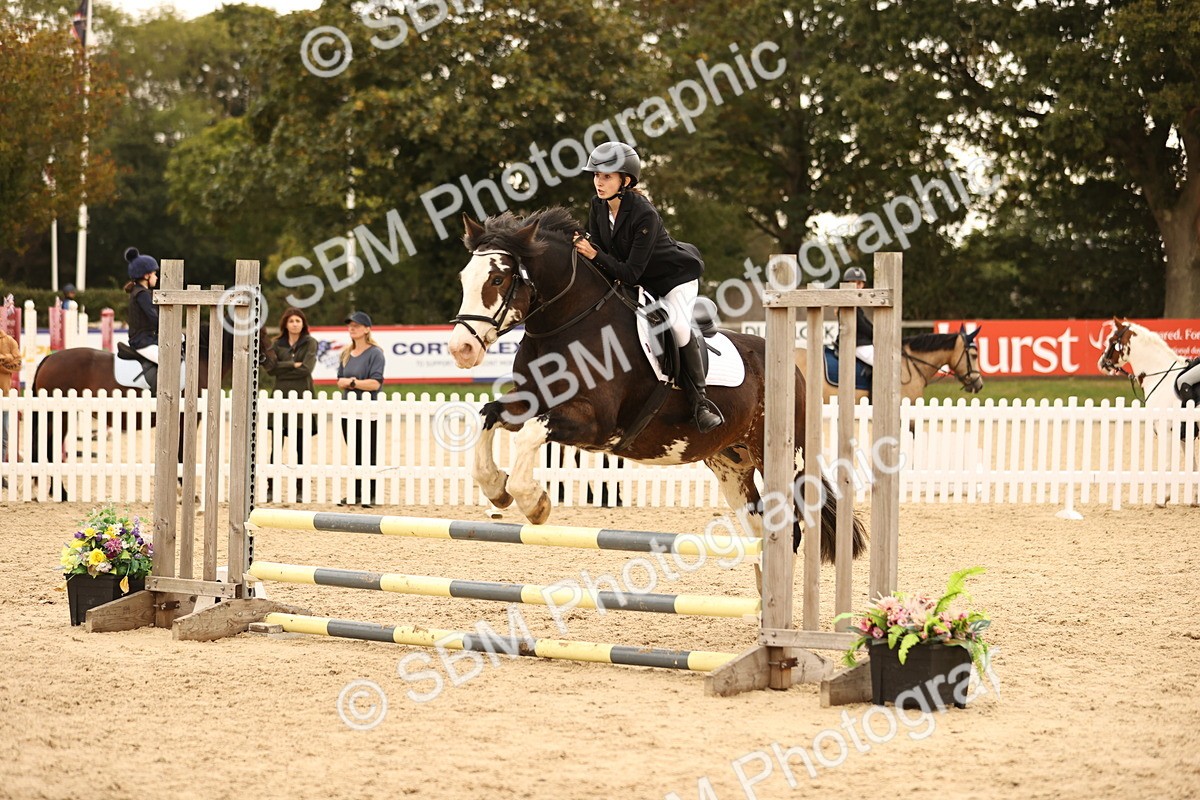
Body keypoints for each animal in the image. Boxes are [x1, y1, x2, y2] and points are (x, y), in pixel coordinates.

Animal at [28, 326, 270, 500]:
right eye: (262, 334)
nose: (272, 359)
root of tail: (49, 358)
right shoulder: (187, 418)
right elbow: (181, 453)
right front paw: (185, 493)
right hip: (60, 414)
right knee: (50, 450)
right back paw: (60, 493)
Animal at [447, 207, 866, 569]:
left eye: (498, 279)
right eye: (464, 278)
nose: (461, 349)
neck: (569, 324)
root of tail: (791, 366)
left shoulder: (595, 423)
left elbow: (531, 435)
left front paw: (534, 503)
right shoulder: (531, 402)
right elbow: (490, 415)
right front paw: (496, 488)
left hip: (786, 458)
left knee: (791, 528)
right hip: (732, 464)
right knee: (760, 527)